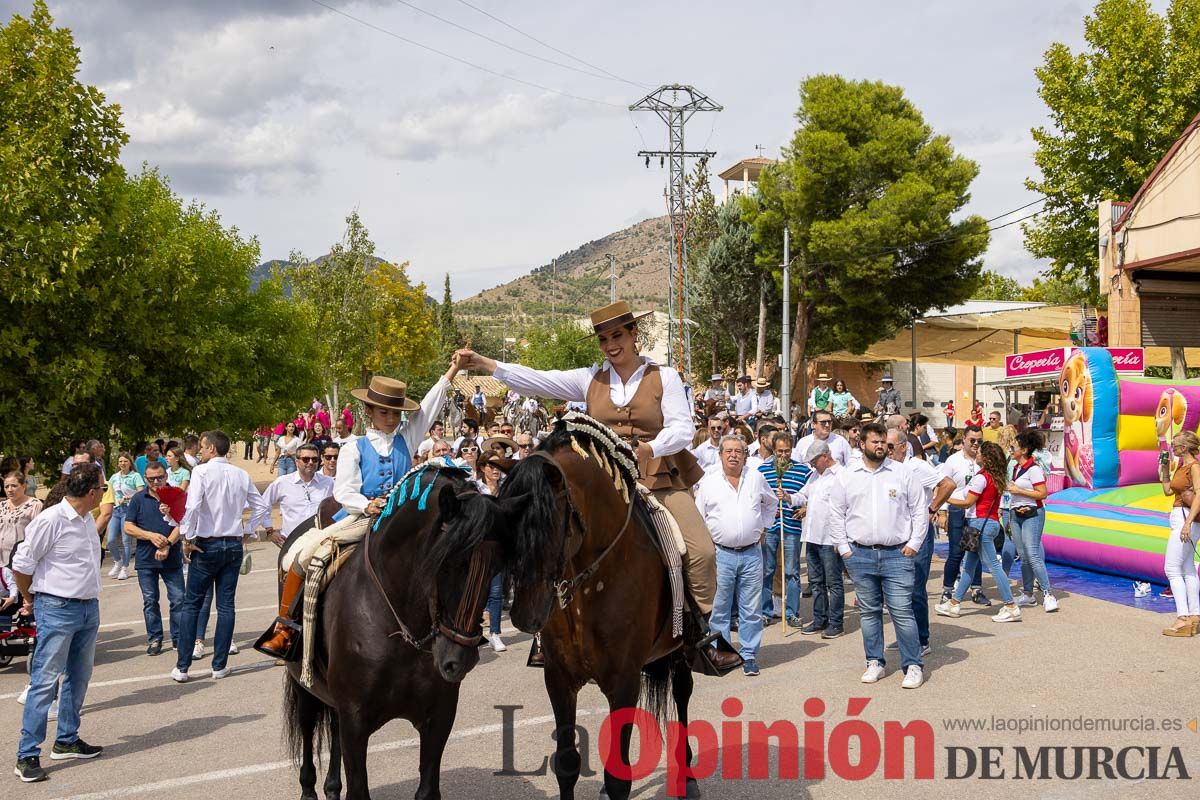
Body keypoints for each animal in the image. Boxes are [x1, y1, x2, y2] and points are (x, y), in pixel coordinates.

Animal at [279, 462, 561, 800]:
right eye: (447, 563)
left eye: (496, 568)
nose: (458, 660)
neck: (402, 632)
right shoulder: (355, 721)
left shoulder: (438, 718)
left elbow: (427, 789)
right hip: (303, 683)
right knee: (308, 727)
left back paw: (332, 787)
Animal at [504, 419, 705, 800]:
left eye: (547, 521)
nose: (523, 615)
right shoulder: (558, 679)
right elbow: (567, 763)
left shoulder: (623, 683)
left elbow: (618, 778)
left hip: (682, 650)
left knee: (683, 694)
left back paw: (688, 778)